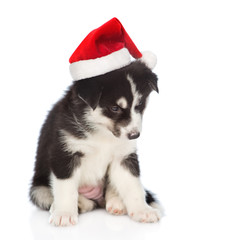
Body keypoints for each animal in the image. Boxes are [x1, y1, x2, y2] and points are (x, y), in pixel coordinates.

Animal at [29, 59, 162, 225]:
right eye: (114, 108)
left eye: (139, 104)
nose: (134, 135)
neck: (102, 131)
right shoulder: (64, 153)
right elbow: (65, 188)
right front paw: (64, 213)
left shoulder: (123, 156)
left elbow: (133, 186)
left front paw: (143, 211)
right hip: (38, 189)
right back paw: (77, 204)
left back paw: (117, 203)